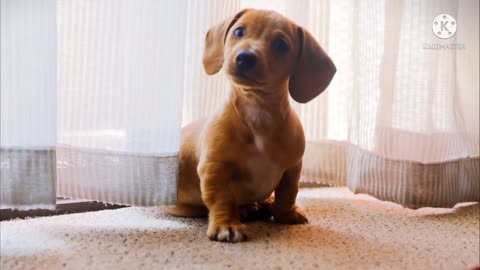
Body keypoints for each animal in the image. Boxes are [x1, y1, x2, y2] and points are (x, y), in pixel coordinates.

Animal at [167, 8, 336, 243]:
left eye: (281, 45)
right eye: (239, 31)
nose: (245, 57)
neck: (258, 113)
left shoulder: (293, 168)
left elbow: (288, 193)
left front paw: (285, 213)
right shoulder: (215, 168)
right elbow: (222, 199)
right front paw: (226, 225)